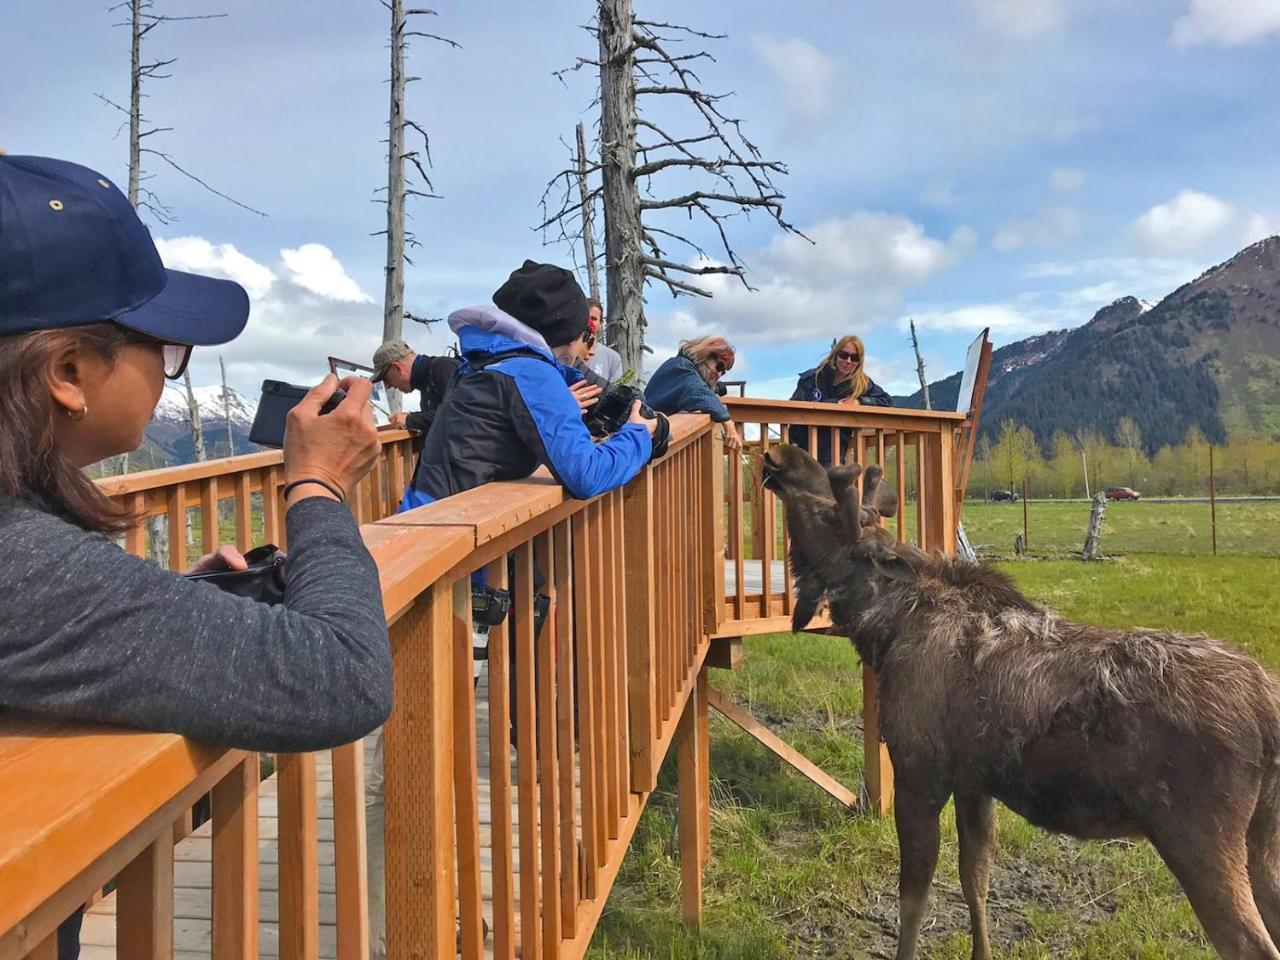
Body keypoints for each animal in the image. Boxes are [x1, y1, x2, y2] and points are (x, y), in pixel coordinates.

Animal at [762, 445, 1280, 960]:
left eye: (828, 512)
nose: (782, 455)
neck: (882, 633)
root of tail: (1267, 715)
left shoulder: (919, 772)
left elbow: (914, 898)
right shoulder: (974, 782)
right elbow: (976, 880)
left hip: (1197, 834)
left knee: (1251, 942)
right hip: (1262, 840)